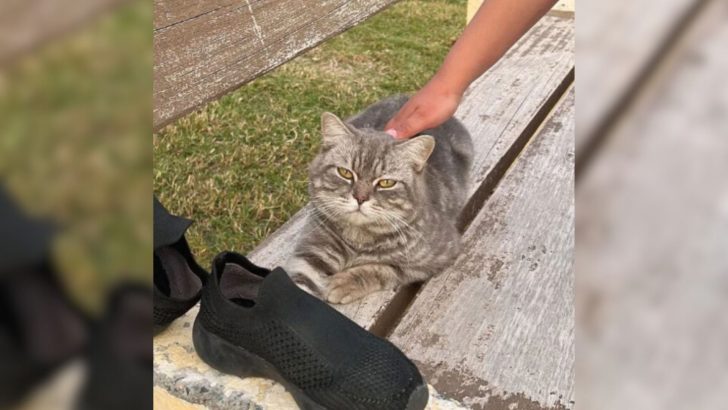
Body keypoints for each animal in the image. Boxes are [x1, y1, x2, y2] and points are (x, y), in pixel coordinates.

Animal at [284, 94, 472, 302]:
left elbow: (385, 269)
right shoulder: (311, 252)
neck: (358, 238)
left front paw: (345, 282)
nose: (360, 197)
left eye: (386, 183)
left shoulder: (442, 253)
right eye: (345, 173)